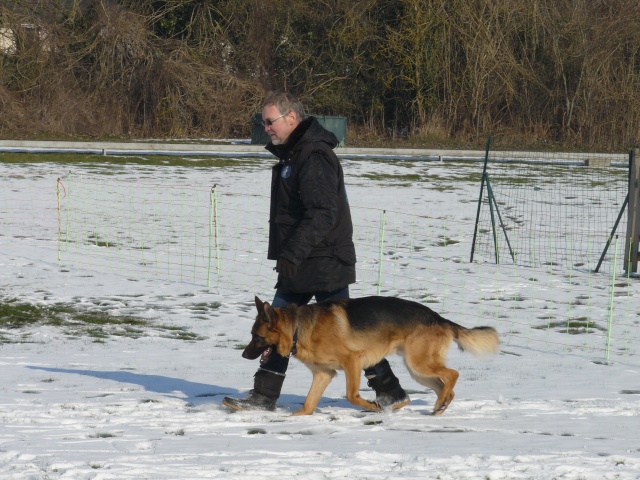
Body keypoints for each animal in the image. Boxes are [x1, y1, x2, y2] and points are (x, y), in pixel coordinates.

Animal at [242, 294, 498, 414]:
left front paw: (375, 407)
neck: (297, 328)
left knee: (453, 374)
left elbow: (351, 395)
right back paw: (440, 406)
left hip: (419, 364)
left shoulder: (352, 361)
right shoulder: (324, 374)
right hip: (418, 371)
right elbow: (307, 405)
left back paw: (438, 404)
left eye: (257, 337)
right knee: (444, 386)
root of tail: (438, 318)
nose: (244, 355)